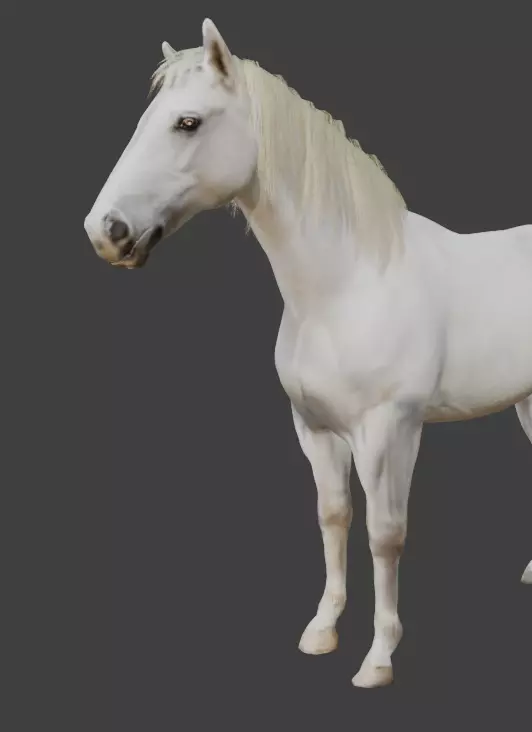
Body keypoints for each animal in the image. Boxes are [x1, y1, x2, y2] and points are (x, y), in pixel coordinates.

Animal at [84, 18, 532, 688]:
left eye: (187, 122)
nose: (105, 232)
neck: (346, 285)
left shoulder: (390, 431)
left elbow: (384, 534)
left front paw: (379, 657)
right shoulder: (313, 428)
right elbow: (334, 517)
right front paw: (322, 630)